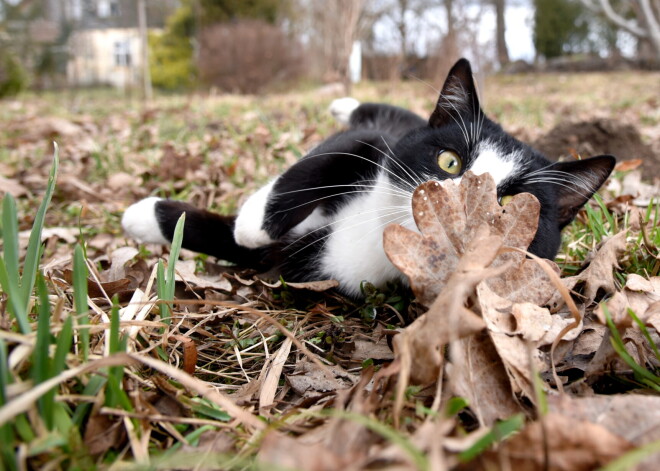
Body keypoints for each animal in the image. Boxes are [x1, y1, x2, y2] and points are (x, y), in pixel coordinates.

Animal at [122, 59, 612, 298]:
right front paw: (253, 222)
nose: (458, 204)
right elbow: (322, 160)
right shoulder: (378, 142)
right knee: (363, 116)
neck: (374, 229)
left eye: (506, 206)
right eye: (450, 162)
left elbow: (234, 245)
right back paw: (343, 102)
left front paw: (146, 217)